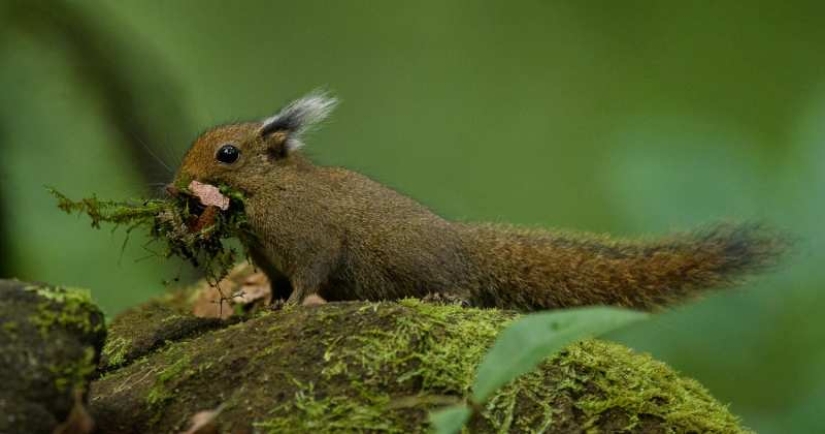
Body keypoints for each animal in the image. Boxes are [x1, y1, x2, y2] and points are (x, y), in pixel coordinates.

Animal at [171, 90, 788, 312]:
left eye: (227, 154)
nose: (177, 187)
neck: (272, 191)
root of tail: (467, 248)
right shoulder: (269, 260)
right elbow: (276, 285)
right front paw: (264, 307)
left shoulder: (309, 239)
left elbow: (309, 276)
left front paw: (295, 308)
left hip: (412, 263)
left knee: (462, 289)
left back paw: (447, 294)